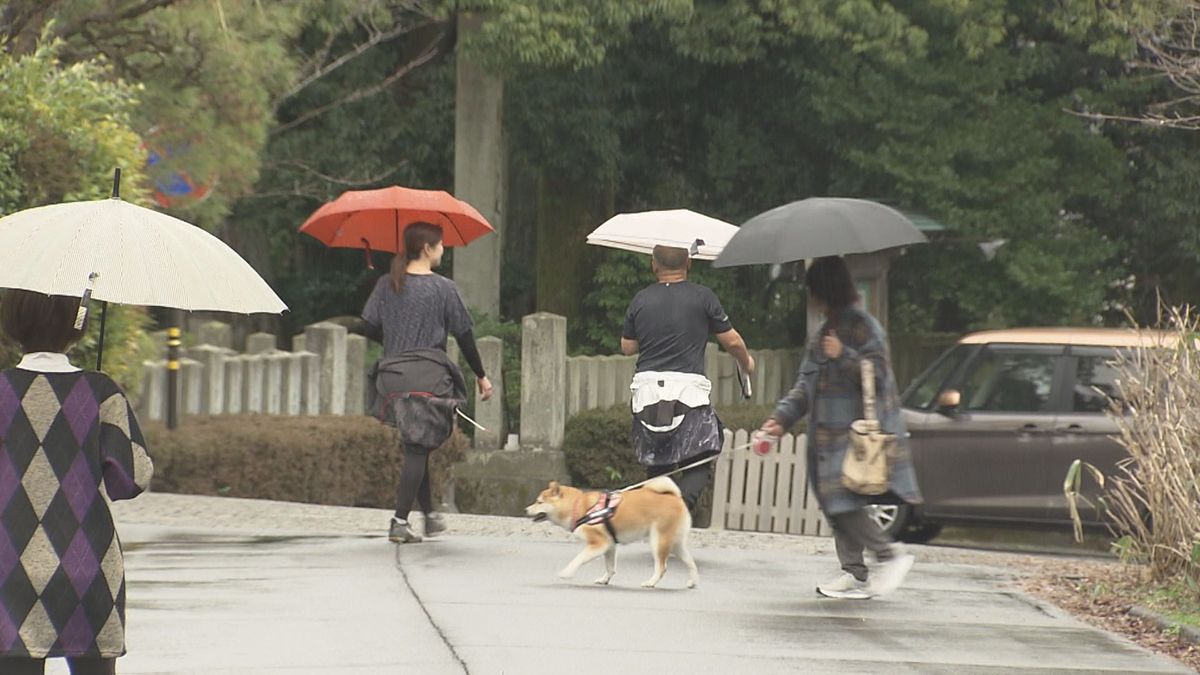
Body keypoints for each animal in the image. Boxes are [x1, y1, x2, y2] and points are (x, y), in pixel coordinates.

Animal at [523, 475, 700, 586]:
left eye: (539, 502)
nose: (525, 509)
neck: (577, 506)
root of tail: (675, 497)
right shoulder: (609, 544)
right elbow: (610, 567)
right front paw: (604, 580)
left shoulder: (598, 544)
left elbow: (578, 559)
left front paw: (566, 573)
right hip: (675, 544)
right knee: (690, 562)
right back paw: (692, 582)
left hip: (658, 542)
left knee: (662, 568)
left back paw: (650, 583)